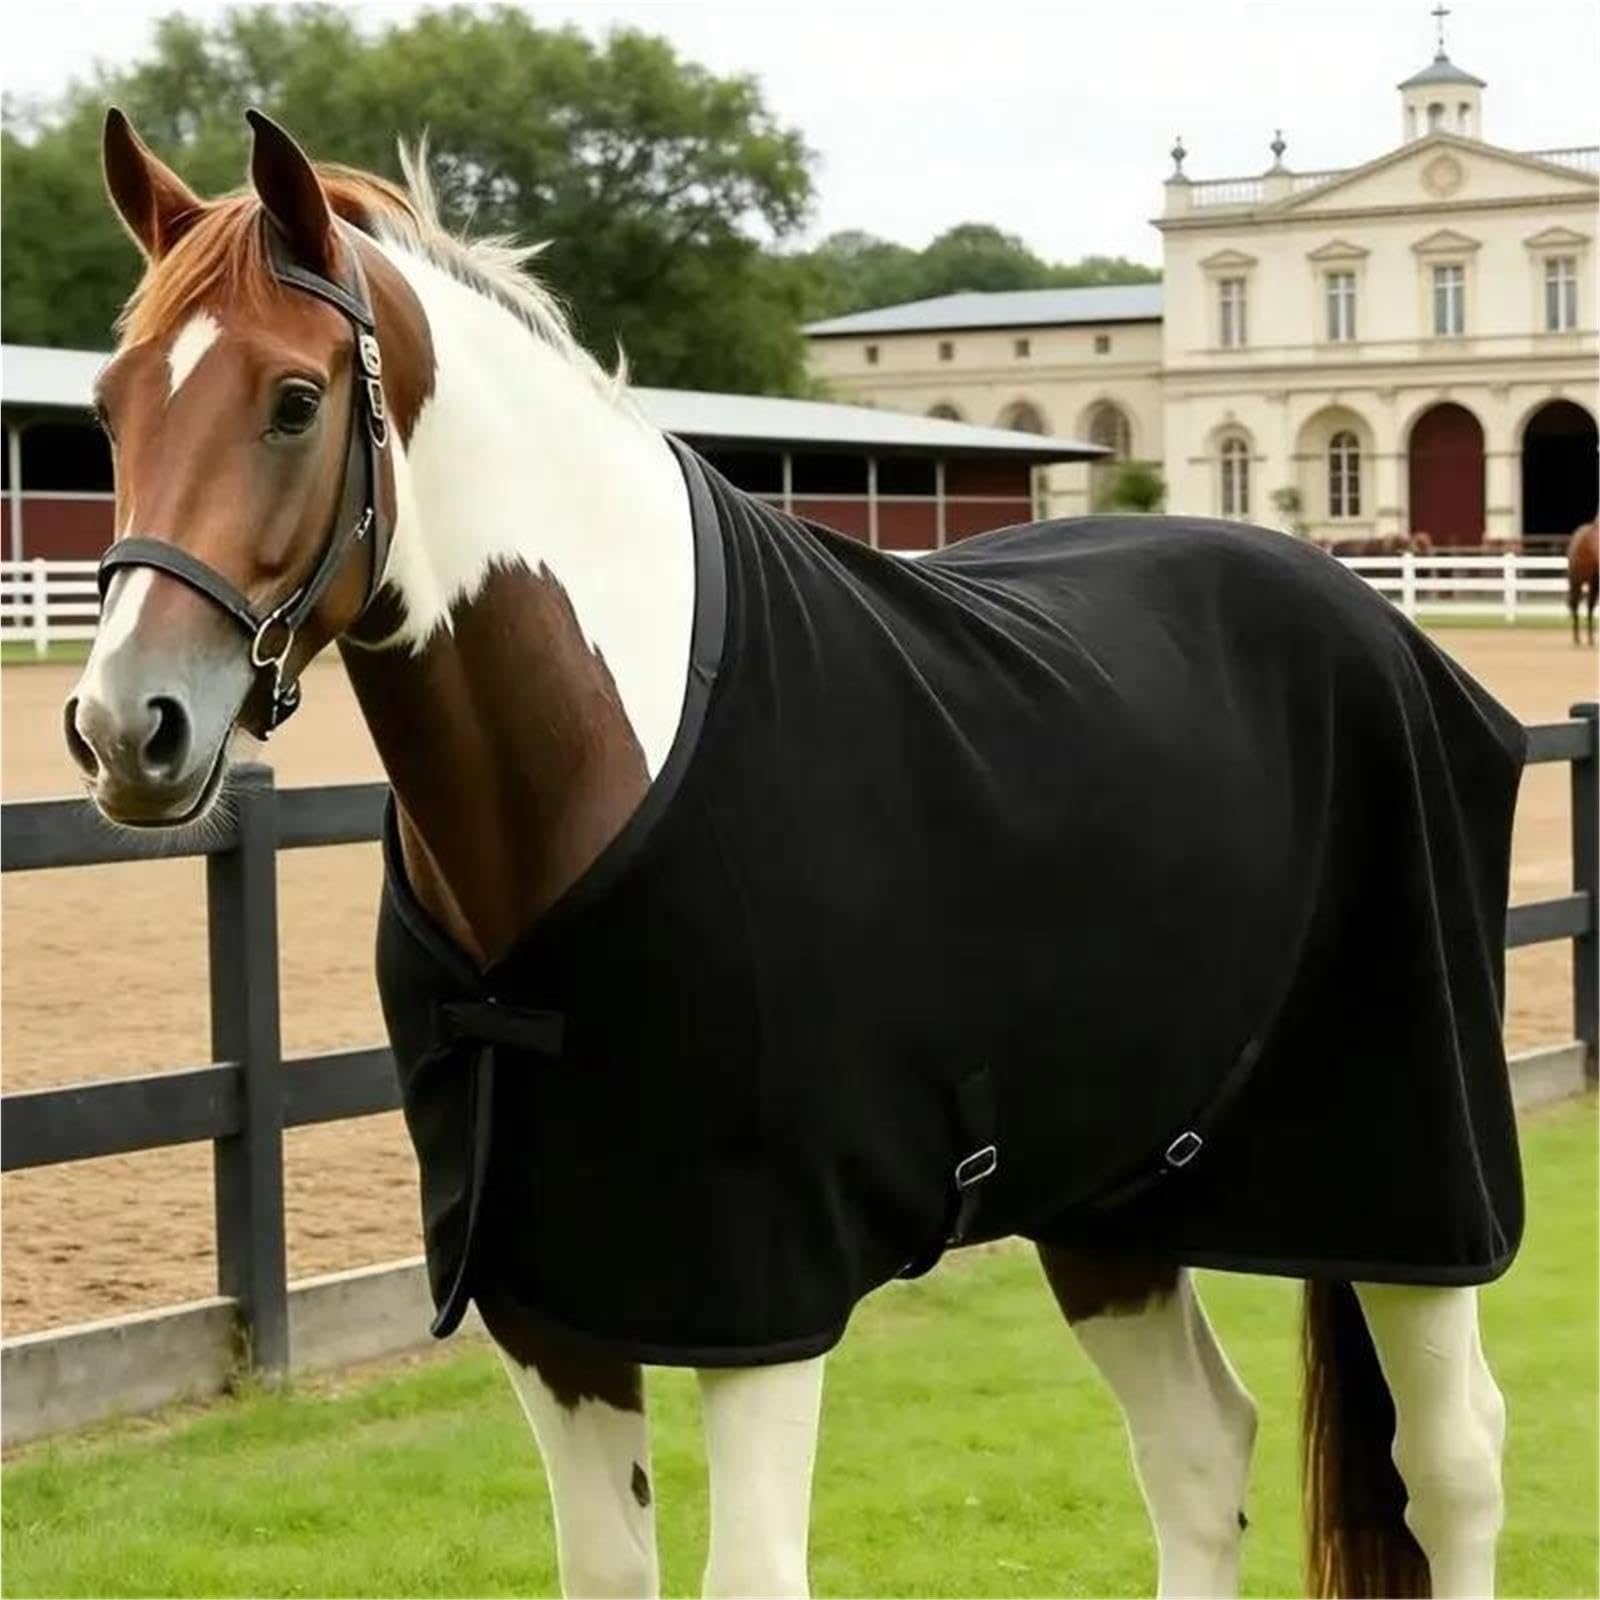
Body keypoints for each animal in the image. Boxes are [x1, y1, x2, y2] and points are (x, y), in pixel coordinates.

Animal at [69, 109, 1528, 1600]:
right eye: (110, 407)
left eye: (296, 399)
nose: (128, 726)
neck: (608, 756)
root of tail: (1378, 623)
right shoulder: (546, 1308)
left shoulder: (761, 1298)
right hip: (1111, 1203)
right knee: (1198, 1452)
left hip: (1413, 1190)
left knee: (1452, 1460)